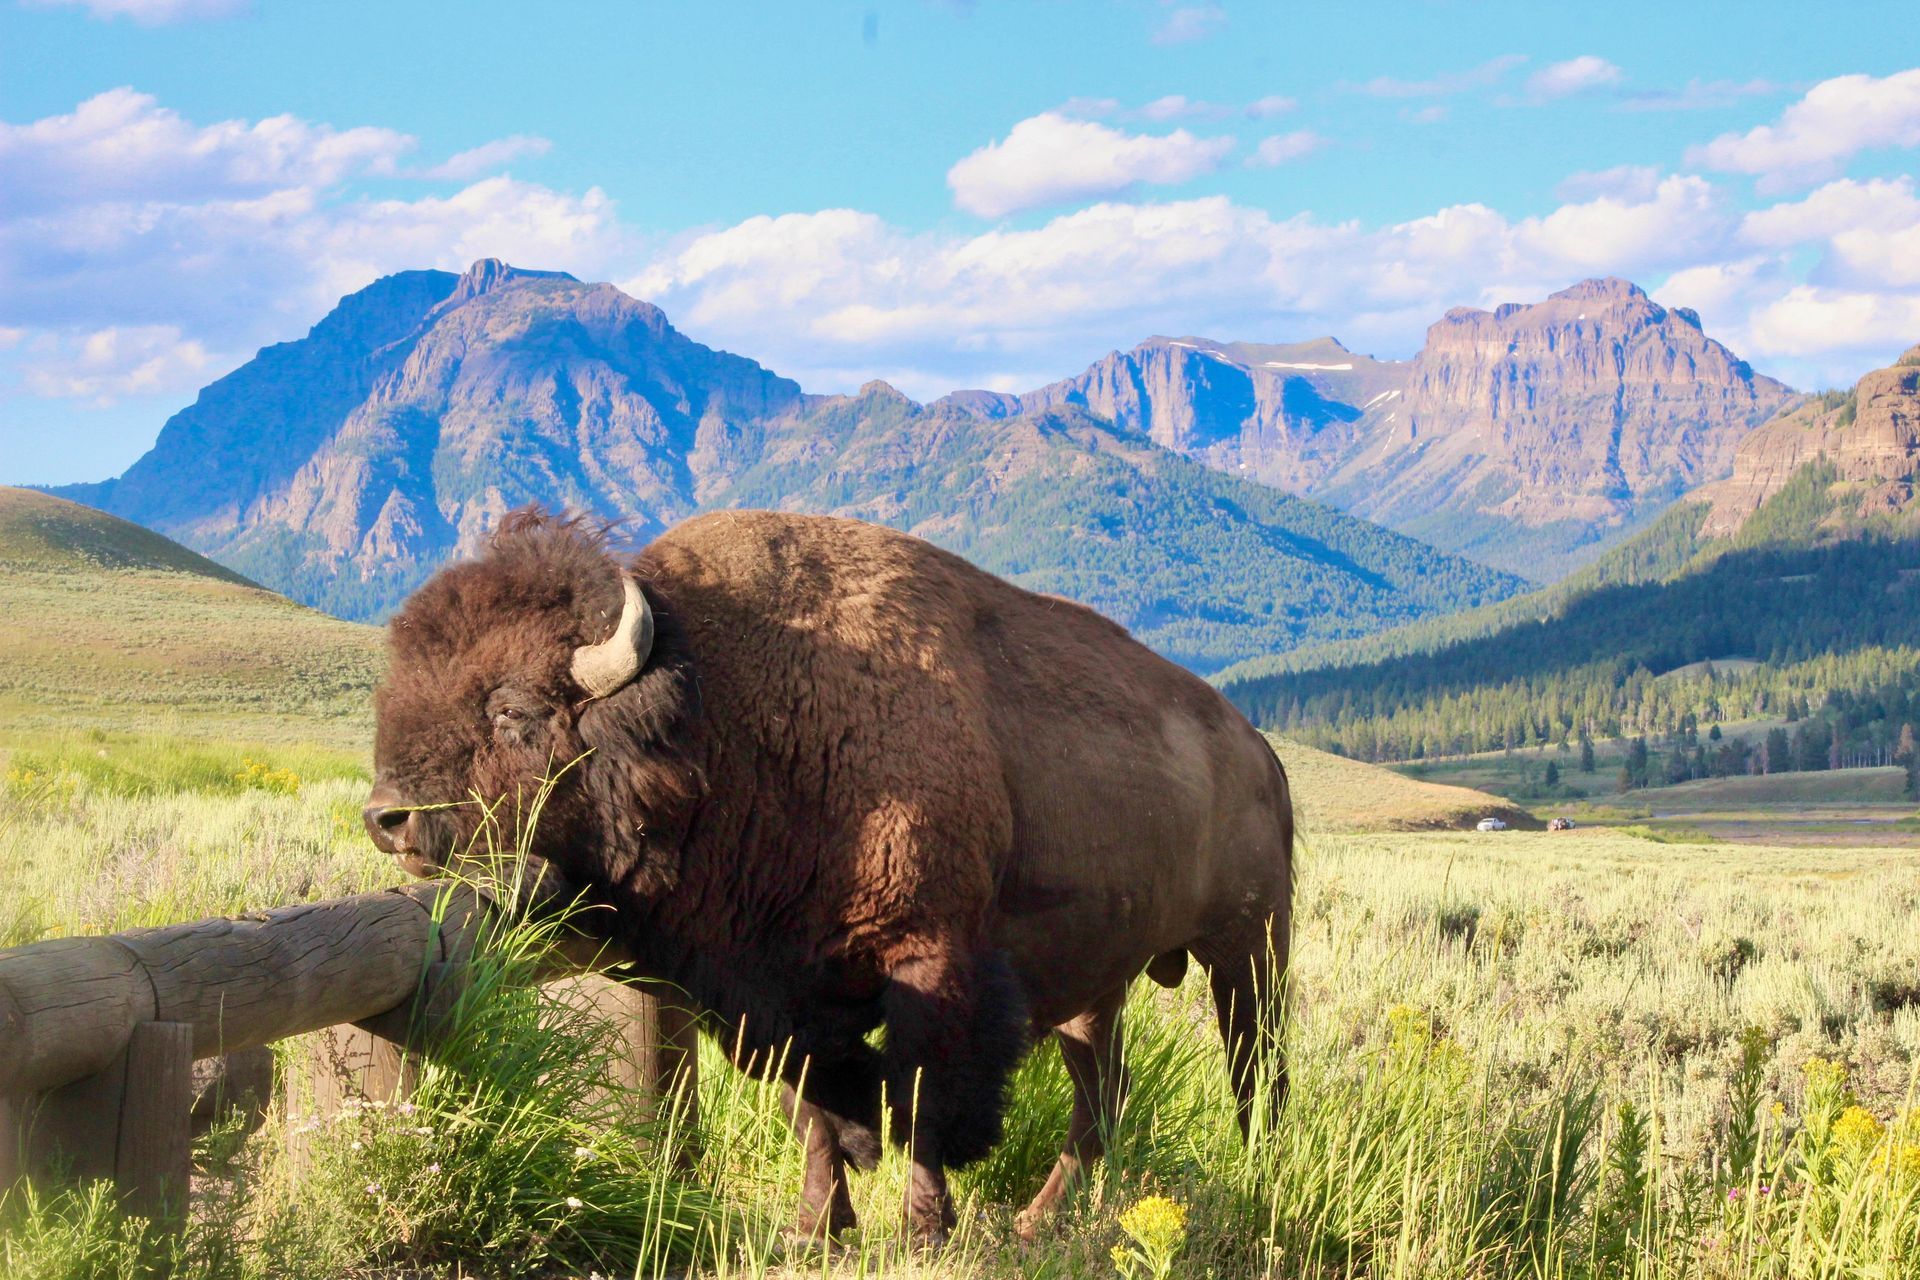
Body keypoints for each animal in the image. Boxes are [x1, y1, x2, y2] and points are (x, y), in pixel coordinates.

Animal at [362, 514, 1290, 1251]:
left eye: (513, 710)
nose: (388, 816)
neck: (725, 710)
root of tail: (1257, 747)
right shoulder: (771, 998)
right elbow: (813, 1113)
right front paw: (817, 1230)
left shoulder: (931, 963)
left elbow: (923, 1103)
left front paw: (923, 1234)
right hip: (1099, 983)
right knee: (1103, 1096)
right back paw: (1043, 1220)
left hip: (1250, 950)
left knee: (1258, 1075)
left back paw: (1263, 1187)